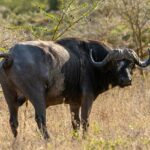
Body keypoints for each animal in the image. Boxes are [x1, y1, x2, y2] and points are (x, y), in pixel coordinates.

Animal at [0, 37, 149, 139]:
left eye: (131, 64)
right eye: (114, 64)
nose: (127, 80)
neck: (92, 63)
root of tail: (11, 55)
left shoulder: (74, 103)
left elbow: (75, 123)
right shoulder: (87, 98)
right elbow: (85, 121)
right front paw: (84, 138)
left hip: (10, 98)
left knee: (13, 121)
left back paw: (17, 141)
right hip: (37, 96)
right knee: (40, 120)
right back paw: (49, 140)